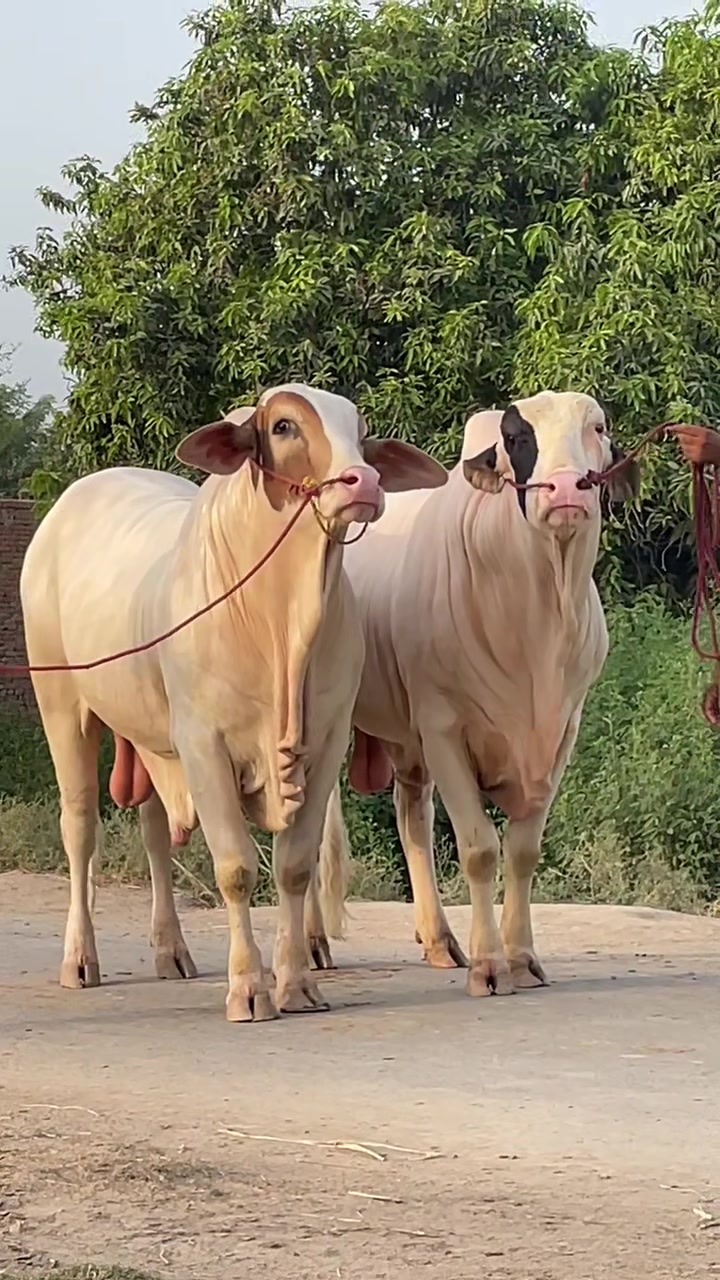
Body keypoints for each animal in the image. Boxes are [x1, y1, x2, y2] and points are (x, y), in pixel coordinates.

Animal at [20, 383, 447, 1022]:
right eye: (284, 426)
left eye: (362, 432)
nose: (363, 482)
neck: (279, 623)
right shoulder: (204, 745)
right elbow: (237, 869)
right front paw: (249, 987)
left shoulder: (324, 745)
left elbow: (294, 868)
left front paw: (296, 984)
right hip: (62, 706)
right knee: (80, 829)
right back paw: (80, 960)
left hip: (152, 738)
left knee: (153, 830)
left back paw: (171, 951)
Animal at [320, 391, 640, 996]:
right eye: (516, 438)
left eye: (598, 429)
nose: (566, 489)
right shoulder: (444, 728)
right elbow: (479, 849)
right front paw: (490, 965)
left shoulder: (560, 734)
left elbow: (523, 850)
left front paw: (522, 958)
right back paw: (312, 944)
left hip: (407, 741)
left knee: (411, 816)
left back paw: (439, 940)